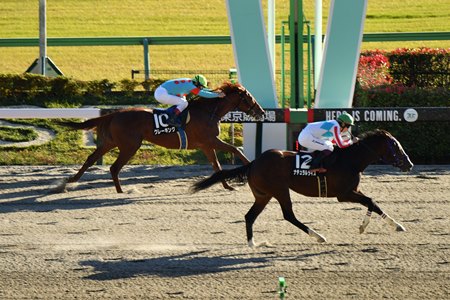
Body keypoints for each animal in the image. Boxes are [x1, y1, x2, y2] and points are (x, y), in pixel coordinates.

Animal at [59, 82, 264, 192]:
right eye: (248, 97)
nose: (261, 112)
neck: (208, 112)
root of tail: (115, 114)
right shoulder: (210, 140)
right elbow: (235, 149)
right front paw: (249, 169)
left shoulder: (206, 145)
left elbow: (217, 166)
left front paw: (228, 186)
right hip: (129, 146)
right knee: (114, 167)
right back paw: (120, 191)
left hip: (110, 142)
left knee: (91, 159)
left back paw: (69, 182)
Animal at [192, 129, 414, 246]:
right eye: (395, 146)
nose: (410, 164)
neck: (350, 160)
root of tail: (254, 163)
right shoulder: (344, 194)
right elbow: (371, 201)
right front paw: (365, 226)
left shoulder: (353, 191)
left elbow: (373, 203)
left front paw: (396, 225)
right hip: (280, 190)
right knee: (288, 215)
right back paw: (318, 236)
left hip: (263, 195)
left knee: (249, 216)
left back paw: (252, 243)